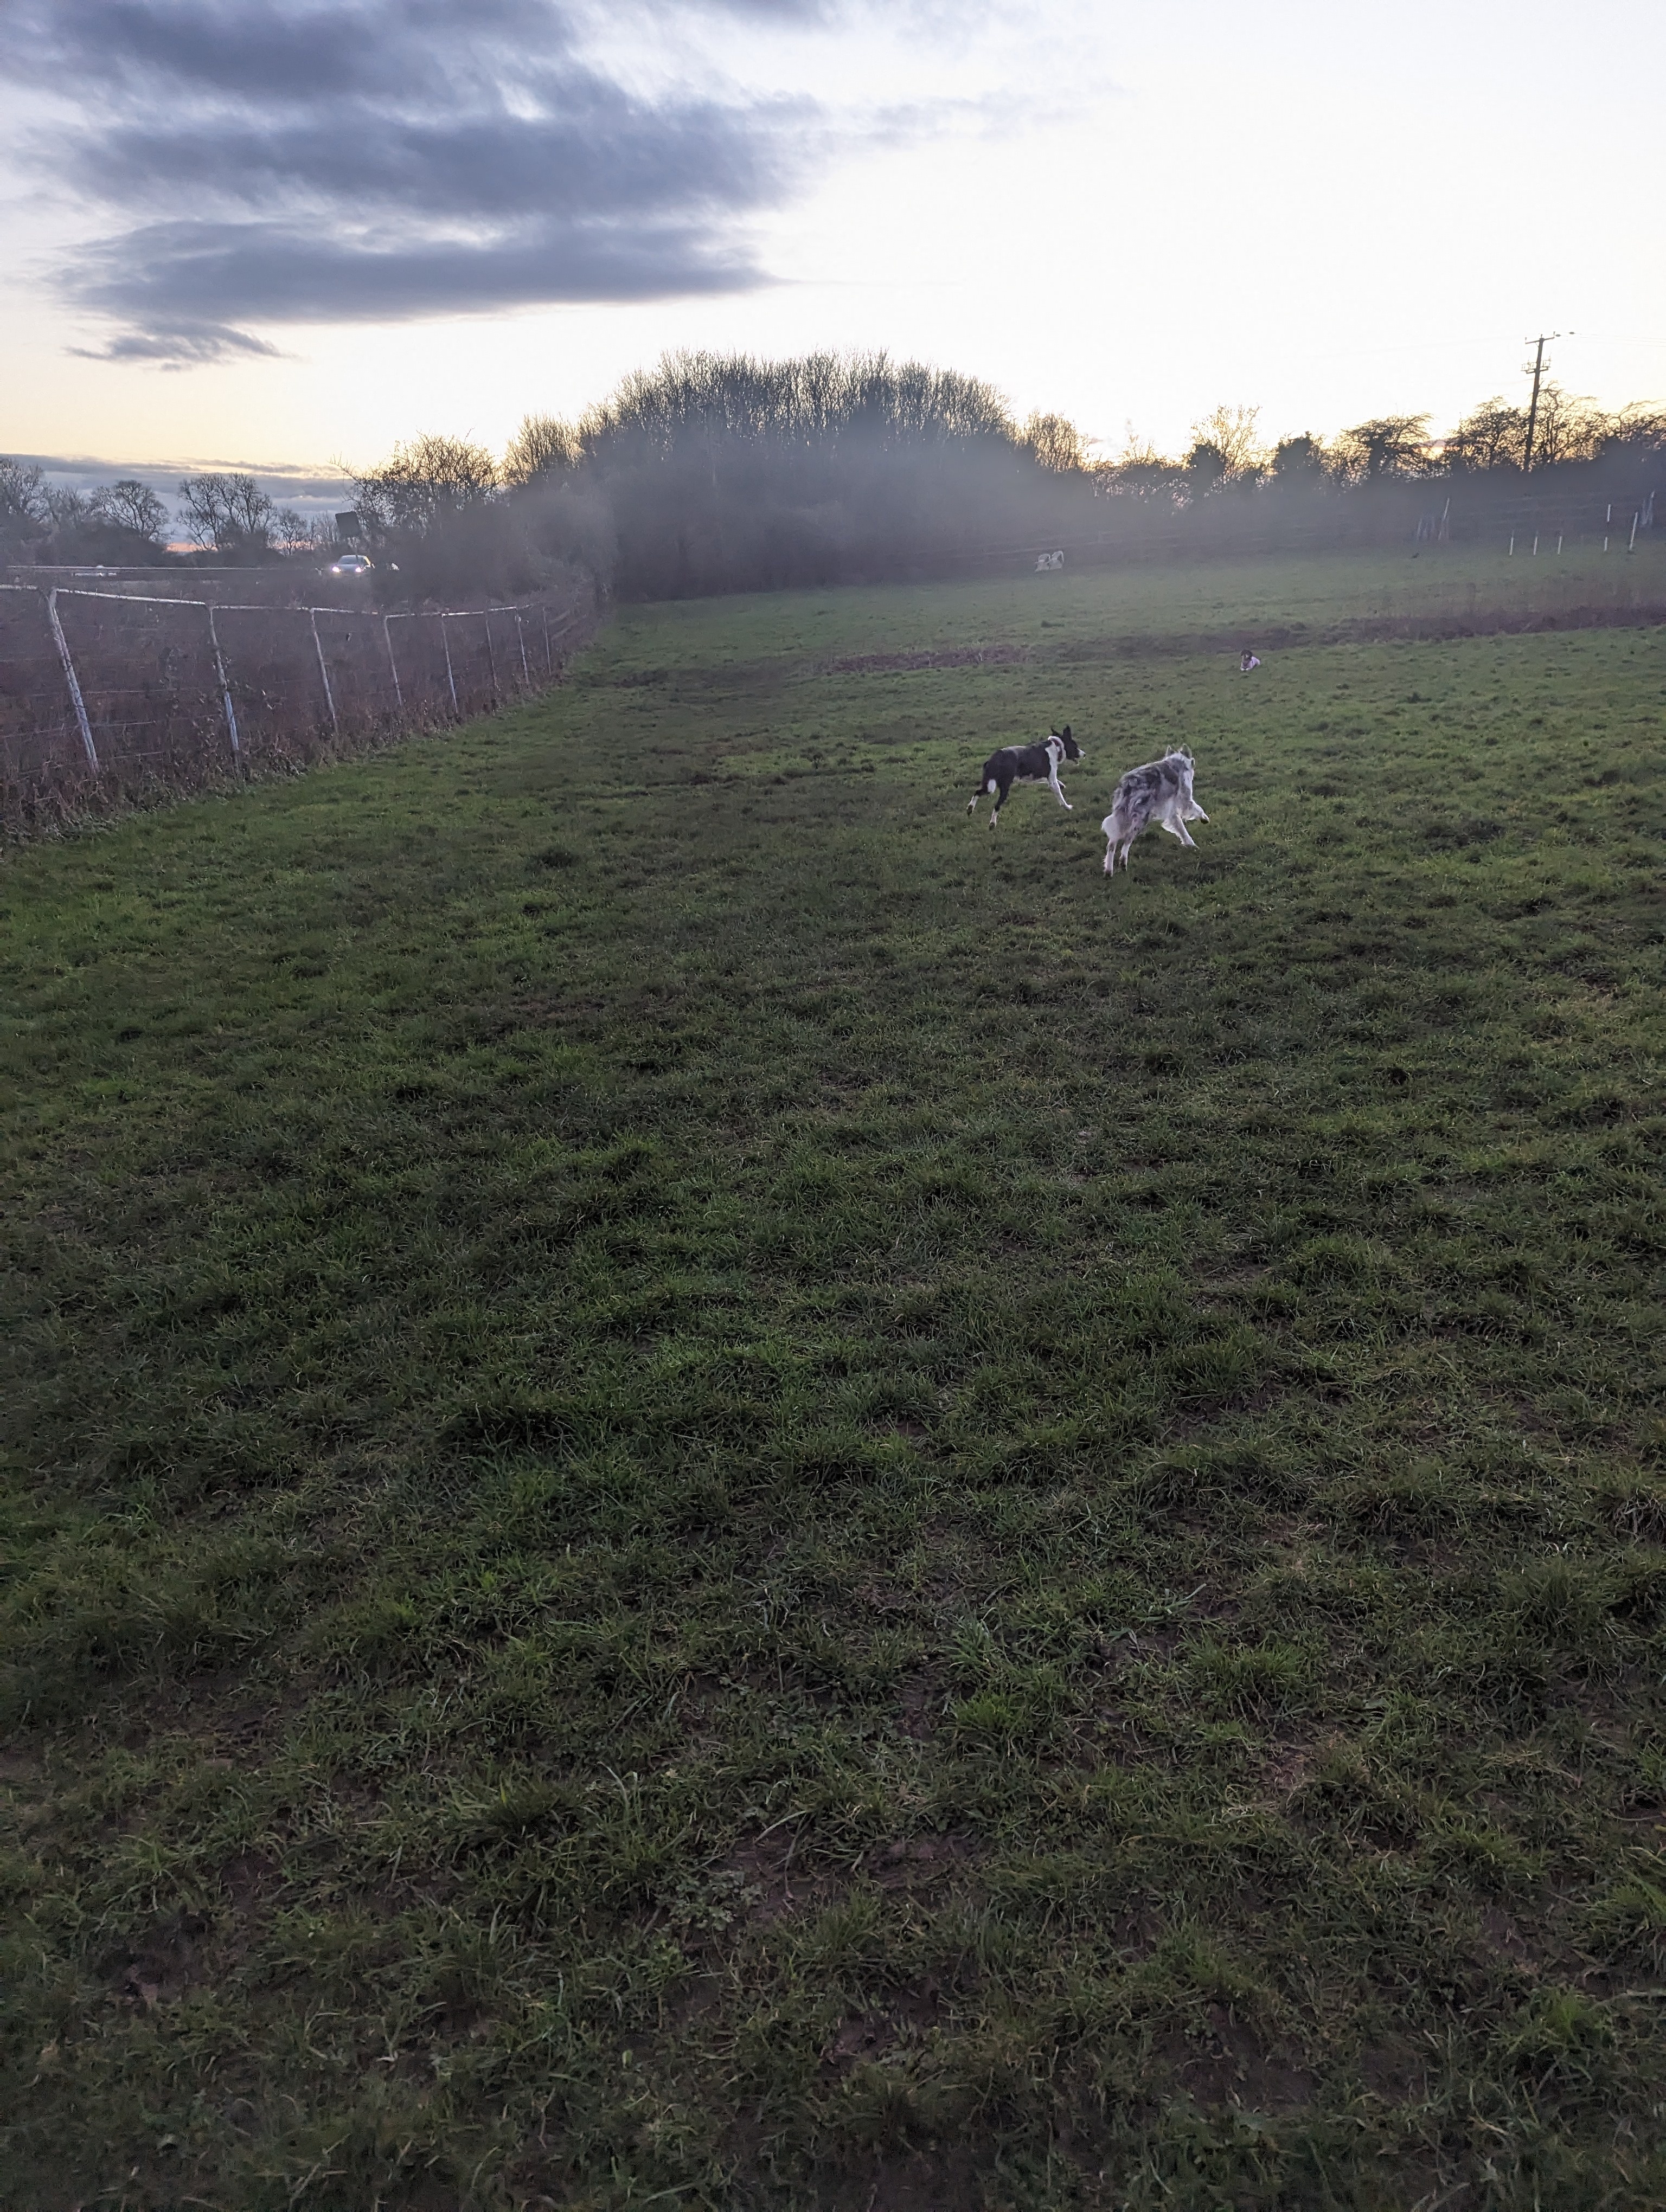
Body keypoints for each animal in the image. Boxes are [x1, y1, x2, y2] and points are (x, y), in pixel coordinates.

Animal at [968, 726, 1081, 827]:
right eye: (1075, 746)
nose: (1084, 754)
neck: (1057, 747)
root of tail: (995, 758)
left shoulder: (1037, 776)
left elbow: (1049, 781)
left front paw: (1061, 784)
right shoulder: (1051, 780)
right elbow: (1060, 797)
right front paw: (1067, 807)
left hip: (989, 786)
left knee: (977, 792)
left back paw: (970, 809)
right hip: (1003, 787)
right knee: (997, 806)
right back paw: (992, 824)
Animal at [1102, 748, 1209, 872]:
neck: (1179, 762)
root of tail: (1129, 784)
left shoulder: (1171, 810)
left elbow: (1181, 828)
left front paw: (1189, 843)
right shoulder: (1185, 799)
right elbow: (1197, 809)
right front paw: (1204, 819)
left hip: (1122, 818)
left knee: (1112, 843)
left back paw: (1109, 871)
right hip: (1141, 819)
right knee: (1127, 840)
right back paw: (1123, 862)